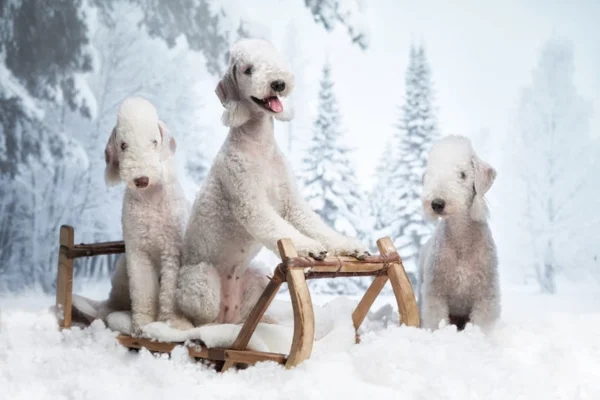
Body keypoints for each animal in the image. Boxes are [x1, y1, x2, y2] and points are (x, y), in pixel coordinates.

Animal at [101, 97, 192, 334]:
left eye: (154, 142)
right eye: (123, 145)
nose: (141, 180)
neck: (150, 199)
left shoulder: (172, 250)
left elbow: (168, 292)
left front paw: (169, 323)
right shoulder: (137, 251)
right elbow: (143, 291)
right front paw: (142, 324)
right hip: (121, 273)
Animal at [176, 37, 368, 326]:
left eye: (274, 60)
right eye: (248, 70)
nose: (278, 83)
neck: (259, 144)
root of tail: (227, 315)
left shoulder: (291, 203)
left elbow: (316, 225)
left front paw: (351, 247)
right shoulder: (250, 203)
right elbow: (280, 229)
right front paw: (310, 249)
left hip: (255, 279)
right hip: (201, 281)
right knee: (200, 320)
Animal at [414, 134, 500, 332]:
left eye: (462, 174)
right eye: (430, 173)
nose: (437, 203)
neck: (460, 235)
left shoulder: (485, 294)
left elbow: (482, 323)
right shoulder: (435, 292)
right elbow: (435, 319)